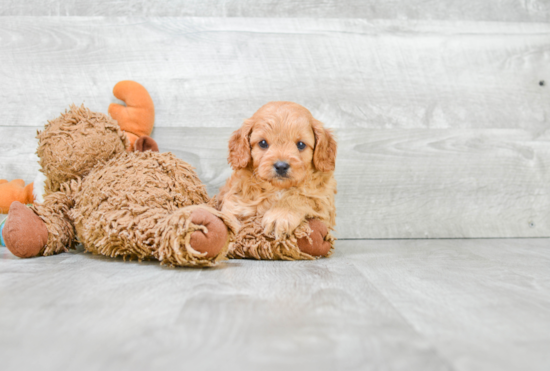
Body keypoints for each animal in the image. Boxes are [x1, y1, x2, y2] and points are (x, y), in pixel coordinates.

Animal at [218, 101, 338, 250]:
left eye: (301, 144)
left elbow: (301, 197)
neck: (277, 188)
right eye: (263, 143)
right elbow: (231, 213)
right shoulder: (236, 195)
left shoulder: (324, 203)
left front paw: (279, 216)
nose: (281, 166)